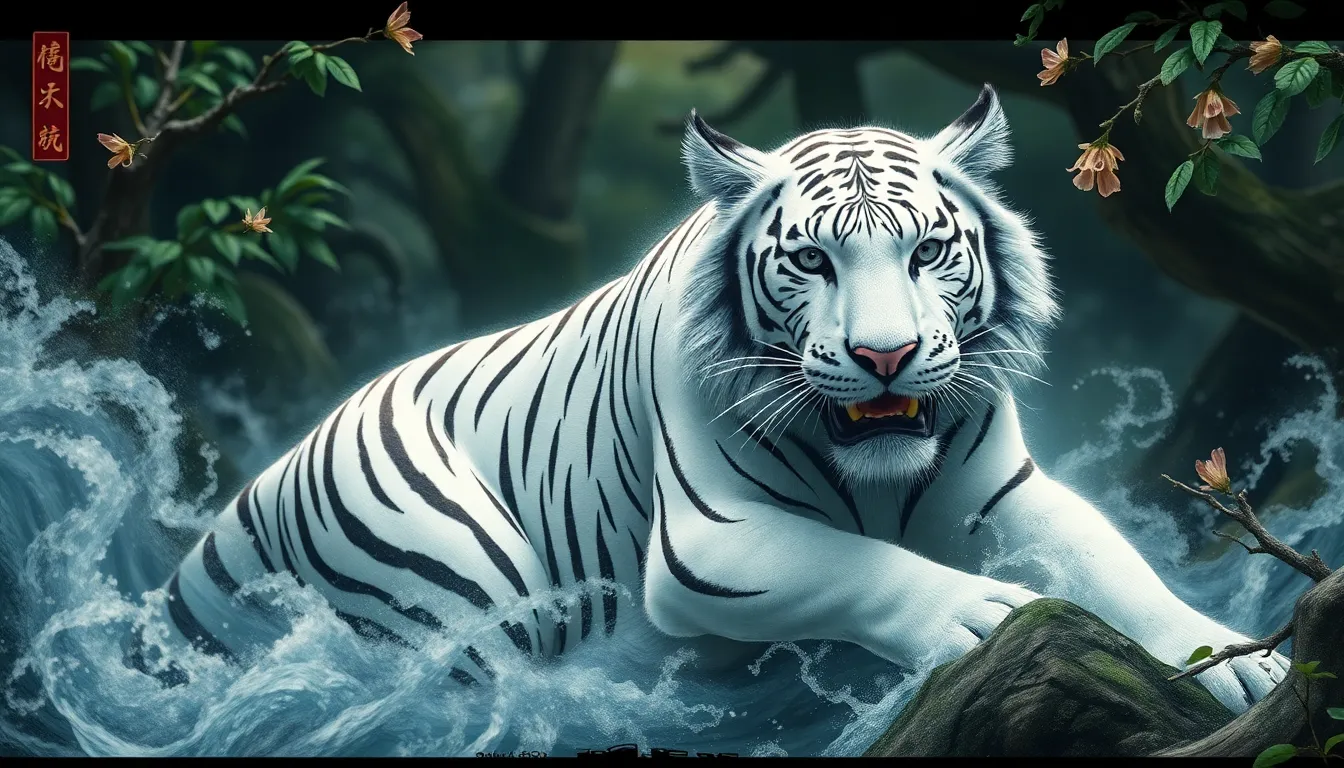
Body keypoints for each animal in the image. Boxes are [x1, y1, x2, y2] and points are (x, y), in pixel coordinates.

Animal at [149, 84, 1287, 716]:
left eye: (926, 251)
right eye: (813, 261)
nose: (884, 356)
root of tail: (261, 485)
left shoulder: (1006, 493)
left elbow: (1115, 566)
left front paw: (1232, 666)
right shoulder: (712, 539)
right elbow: (858, 565)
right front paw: (977, 614)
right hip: (459, 573)